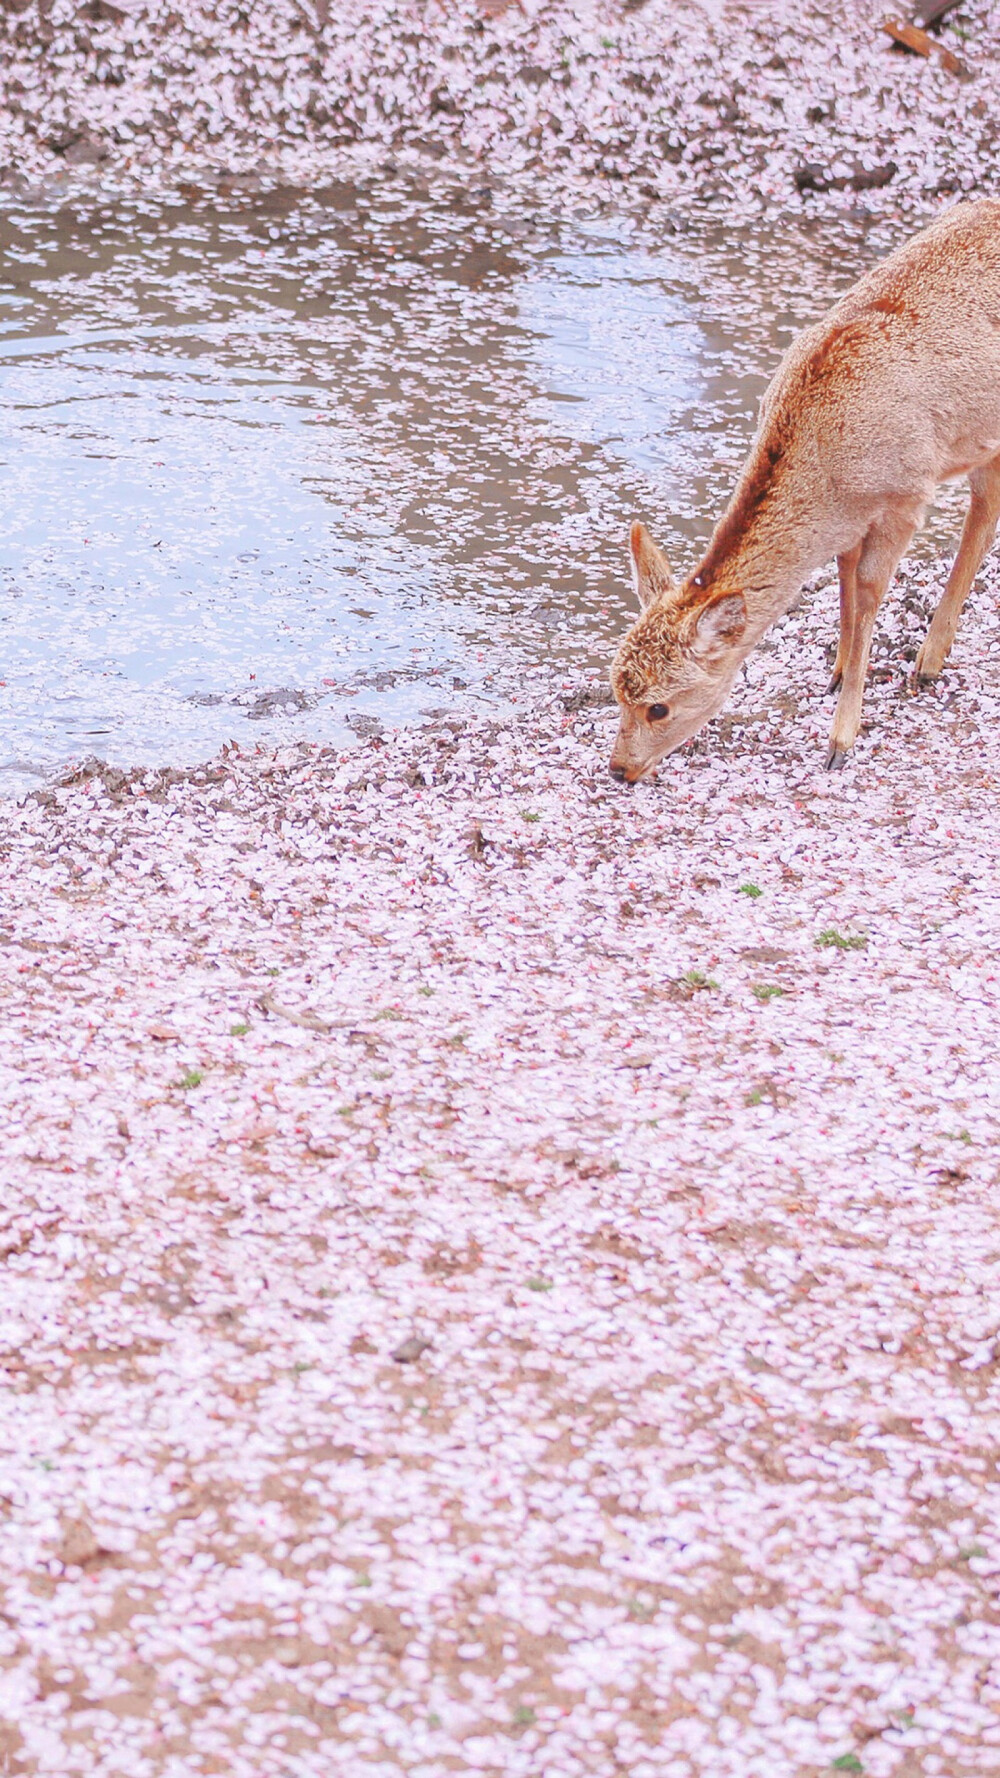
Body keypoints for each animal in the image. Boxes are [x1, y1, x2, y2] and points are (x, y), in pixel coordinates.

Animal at [604, 198, 996, 782]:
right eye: (614, 689)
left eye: (659, 707)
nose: (619, 769)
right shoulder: (852, 519)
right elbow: (844, 575)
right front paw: (835, 672)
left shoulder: (907, 494)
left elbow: (869, 590)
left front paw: (841, 739)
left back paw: (927, 662)